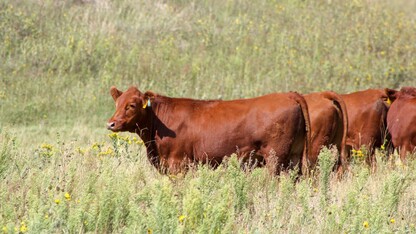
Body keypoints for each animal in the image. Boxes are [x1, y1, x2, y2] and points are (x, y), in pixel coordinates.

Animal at [108, 85, 312, 174]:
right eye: (117, 103)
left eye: (132, 105)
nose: (111, 123)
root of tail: (289, 94)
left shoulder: (178, 163)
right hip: (294, 156)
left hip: (275, 156)